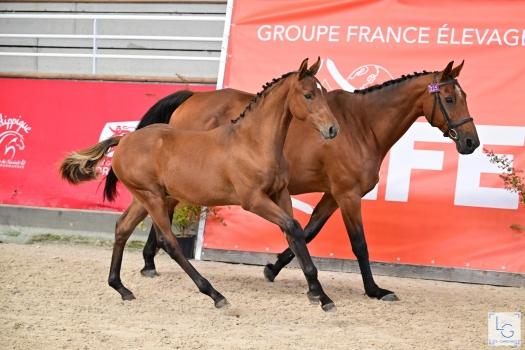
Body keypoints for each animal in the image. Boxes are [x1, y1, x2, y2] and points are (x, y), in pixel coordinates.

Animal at [59, 58, 340, 312]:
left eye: (322, 94)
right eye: (308, 94)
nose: (332, 129)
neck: (254, 142)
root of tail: (124, 139)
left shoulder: (281, 195)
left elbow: (295, 233)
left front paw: (320, 295)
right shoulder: (254, 201)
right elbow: (293, 227)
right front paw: (318, 294)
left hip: (145, 197)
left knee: (122, 228)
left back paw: (121, 287)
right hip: (153, 197)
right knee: (169, 241)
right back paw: (215, 294)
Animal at [129, 60, 476, 300]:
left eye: (464, 96)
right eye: (448, 99)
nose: (472, 142)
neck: (361, 125)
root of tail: (191, 98)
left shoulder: (332, 195)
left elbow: (307, 232)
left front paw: (273, 269)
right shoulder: (347, 194)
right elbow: (359, 244)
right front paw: (374, 290)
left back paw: (149, 263)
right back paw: (151, 263)